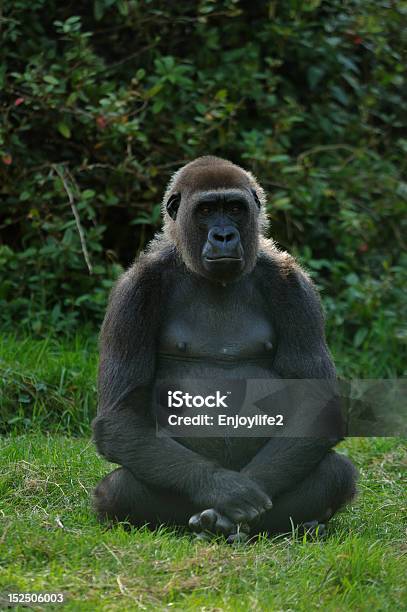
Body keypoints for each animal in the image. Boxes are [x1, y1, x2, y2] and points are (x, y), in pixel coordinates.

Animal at [92, 155, 356, 544]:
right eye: (205, 210)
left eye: (233, 208)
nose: (224, 236)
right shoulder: (133, 291)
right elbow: (119, 416)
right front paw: (228, 490)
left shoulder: (295, 287)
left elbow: (316, 403)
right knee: (116, 490)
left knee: (337, 474)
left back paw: (295, 525)